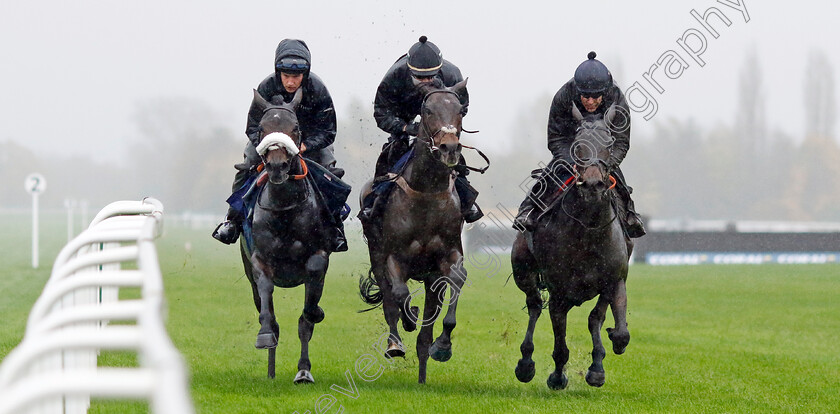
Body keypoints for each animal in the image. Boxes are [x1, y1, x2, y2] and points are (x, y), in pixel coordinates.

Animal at [238, 89, 334, 384]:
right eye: (261, 129)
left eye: (295, 128)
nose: (277, 166)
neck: (284, 209)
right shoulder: (259, 261)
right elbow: (266, 299)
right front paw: (265, 335)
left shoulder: (318, 258)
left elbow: (308, 316)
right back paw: (270, 368)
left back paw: (303, 369)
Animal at [358, 79, 470, 384]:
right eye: (427, 110)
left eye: (460, 110)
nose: (449, 148)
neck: (427, 191)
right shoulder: (394, 257)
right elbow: (399, 294)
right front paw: (408, 320)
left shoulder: (448, 257)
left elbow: (456, 284)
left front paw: (443, 345)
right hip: (376, 255)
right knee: (389, 300)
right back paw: (396, 342)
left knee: (425, 333)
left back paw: (422, 370)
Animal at [508, 104, 632, 392]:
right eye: (578, 144)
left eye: (609, 142)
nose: (593, 184)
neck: (589, 230)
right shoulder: (559, 293)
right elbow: (560, 344)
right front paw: (556, 377)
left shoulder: (615, 280)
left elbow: (609, 325)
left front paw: (598, 366)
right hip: (523, 272)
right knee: (533, 306)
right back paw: (526, 364)